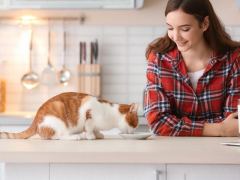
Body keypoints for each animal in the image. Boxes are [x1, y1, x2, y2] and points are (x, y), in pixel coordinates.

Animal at [0, 92, 139, 140]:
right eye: (135, 125)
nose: (134, 132)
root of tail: (35, 120)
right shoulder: (89, 110)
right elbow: (89, 128)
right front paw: (90, 136)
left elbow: (96, 129)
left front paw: (99, 134)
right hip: (58, 113)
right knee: (58, 136)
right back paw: (74, 137)